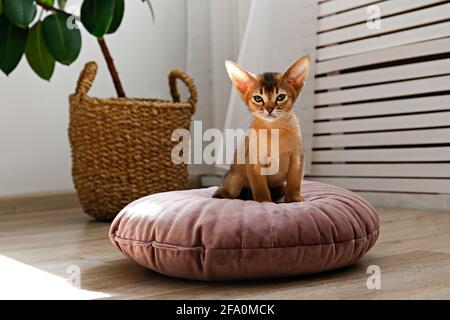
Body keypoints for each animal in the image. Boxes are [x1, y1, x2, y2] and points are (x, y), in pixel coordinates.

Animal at [213, 55, 312, 202]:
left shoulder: (297, 157)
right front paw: (264, 201)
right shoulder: (253, 161)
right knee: (222, 193)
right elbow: (260, 186)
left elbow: (295, 180)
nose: (269, 109)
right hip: (235, 179)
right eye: (258, 98)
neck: (274, 130)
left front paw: (293, 197)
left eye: (281, 97)